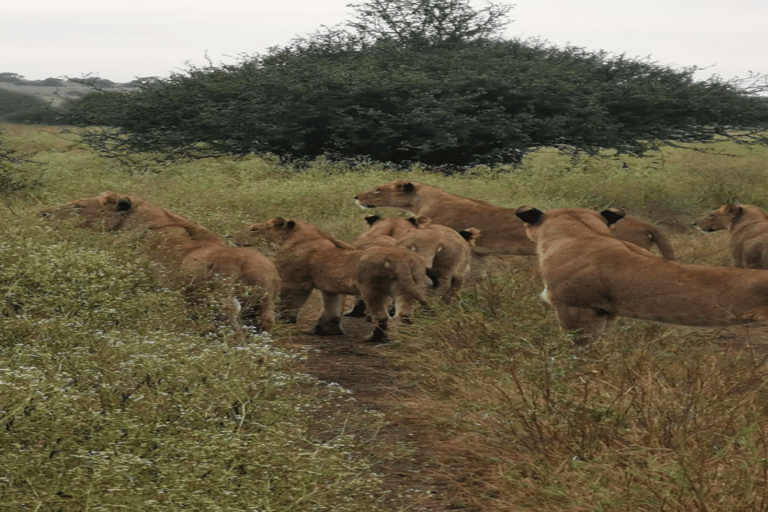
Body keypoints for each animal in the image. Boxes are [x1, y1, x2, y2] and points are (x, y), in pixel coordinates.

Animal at [228, 216, 432, 340]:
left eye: (253, 229)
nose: (232, 236)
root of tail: (401, 259)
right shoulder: (331, 287)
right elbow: (332, 310)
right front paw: (327, 330)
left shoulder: (294, 283)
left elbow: (288, 304)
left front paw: (284, 320)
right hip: (406, 287)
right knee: (403, 313)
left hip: (371, 289)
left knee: (381, 316)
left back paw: (374, 339)